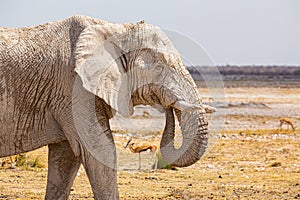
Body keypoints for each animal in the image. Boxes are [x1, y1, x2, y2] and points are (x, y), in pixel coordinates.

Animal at [0, 16, 209, 200]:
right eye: (159, 68)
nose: (168, 107)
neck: (116, 28)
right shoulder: (74, 88)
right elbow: (101, 151)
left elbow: (66, 157)